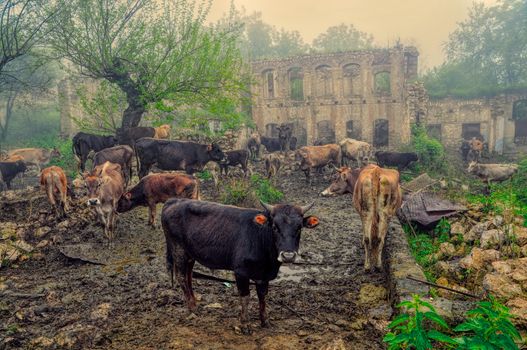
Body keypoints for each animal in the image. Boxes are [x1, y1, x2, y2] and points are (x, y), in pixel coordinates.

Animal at [161, 200, 320, 334]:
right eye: (275, 227)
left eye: (299, 227)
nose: (288, 255)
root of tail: (174, 201)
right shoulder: (241, 272)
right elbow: (245, 297)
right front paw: (245, 325)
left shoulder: (263, 276)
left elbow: (263, 296)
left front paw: (265, 321)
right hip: (178, 249)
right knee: (181, 277)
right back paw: (192, 308)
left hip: (190, 254)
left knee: (189, 276)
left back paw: (194, 303)